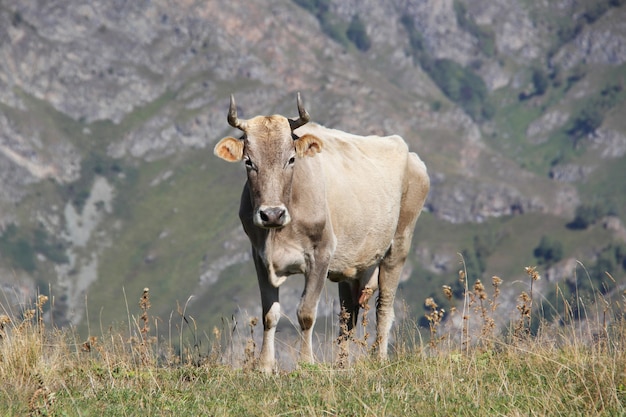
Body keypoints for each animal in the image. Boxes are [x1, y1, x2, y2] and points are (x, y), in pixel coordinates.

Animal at [212, 93, 426, 370]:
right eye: (249, 162)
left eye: (291, 159)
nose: (272, 214)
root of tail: (404, 148)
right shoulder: (259, 257)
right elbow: (269, 314)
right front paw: (265, 366)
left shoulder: (321, 254)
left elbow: (305, 313)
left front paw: (306, 363)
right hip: (352, 263)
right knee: (348, 315)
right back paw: (341, 365)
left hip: (399, 243)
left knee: (384, 307)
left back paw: (379, 357)